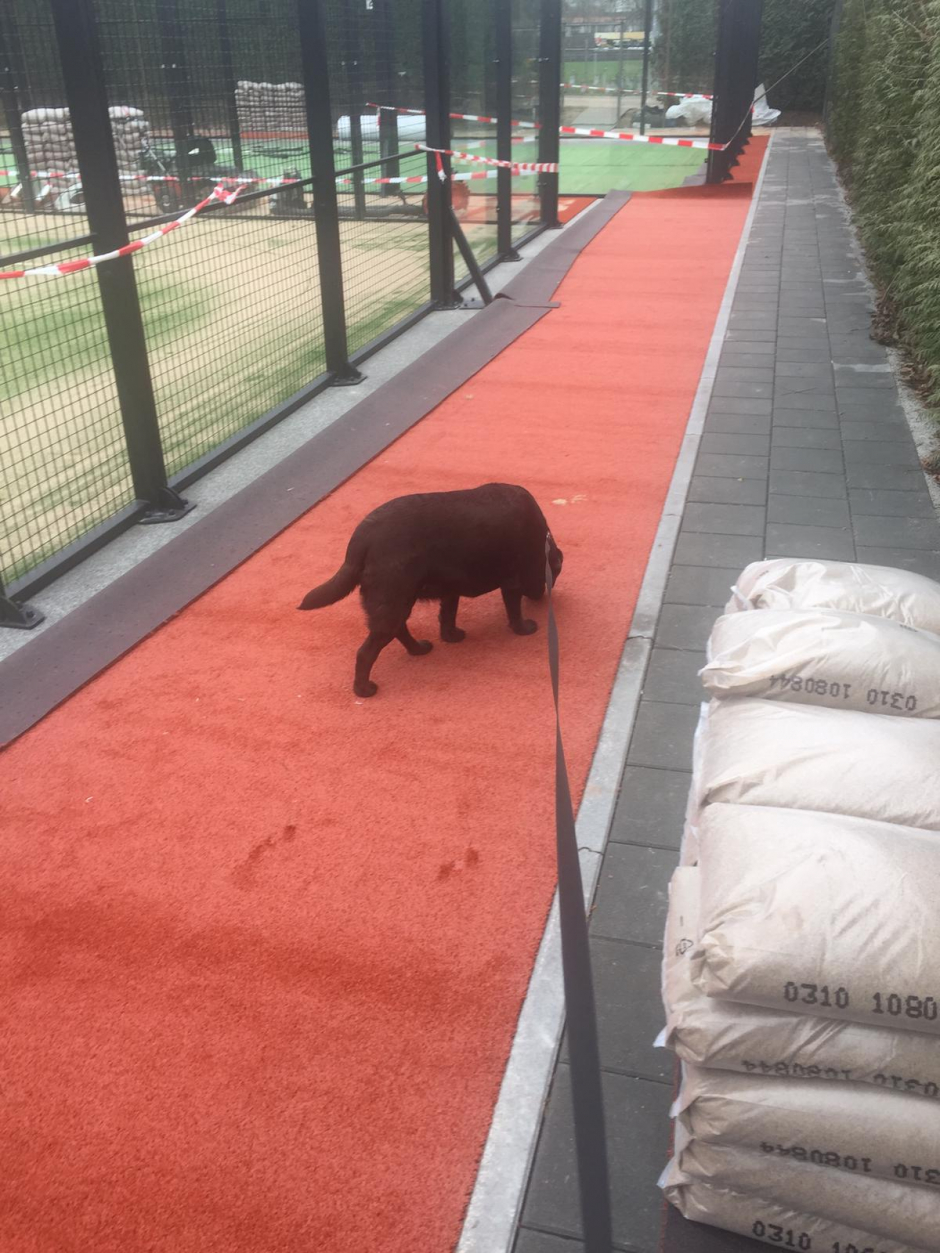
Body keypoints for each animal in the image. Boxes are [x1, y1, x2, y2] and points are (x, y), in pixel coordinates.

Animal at [298, 483, 563, 697]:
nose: (541, 596)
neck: (541, 540)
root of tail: (361, 540)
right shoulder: (511, 582)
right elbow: (514, 612)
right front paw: (524, 628)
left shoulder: (451, 590)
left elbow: (447, 616)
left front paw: (451, 636)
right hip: (392, 603)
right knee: (366, 652)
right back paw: (364, 689)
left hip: (397, 603)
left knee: (399, 631)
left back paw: (418, 650)